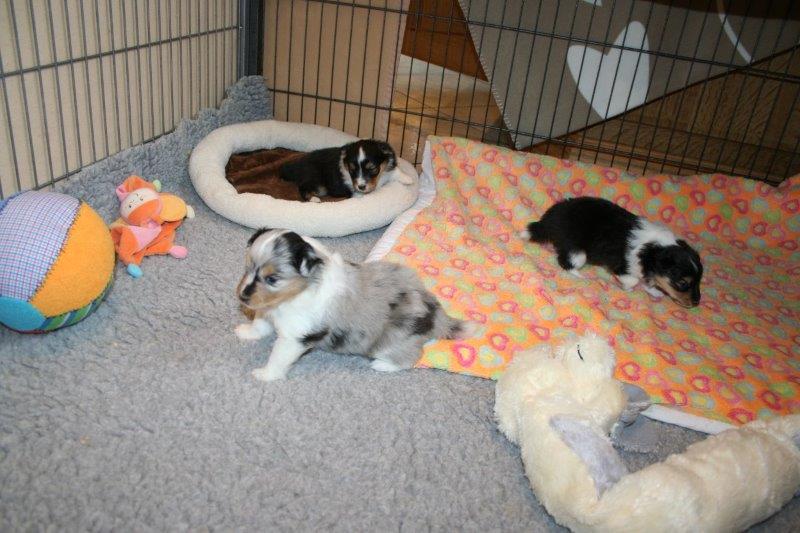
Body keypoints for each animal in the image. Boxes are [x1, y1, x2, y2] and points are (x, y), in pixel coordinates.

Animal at [235, 228, 476, 381]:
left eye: (272, 279)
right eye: (247, 268)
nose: (242, 297)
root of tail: (434, 311)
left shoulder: (294, 337)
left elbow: (278, 357)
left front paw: (265, 375)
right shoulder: (268, 310)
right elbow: (260, 323)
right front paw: (245, 332)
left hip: (390, 341)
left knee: (410, 357)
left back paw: (382, 365)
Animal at [522, 197, 703, 307]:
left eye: (698, 281)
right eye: (683, 283)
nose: (696, 303)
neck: (653, 251)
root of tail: (550, 218)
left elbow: (648, 282)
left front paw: (654, 291)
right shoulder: (623, 267)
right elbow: (633, 281)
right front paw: (627, 289)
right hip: (578, 252)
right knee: (565, 262)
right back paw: (580, 276)